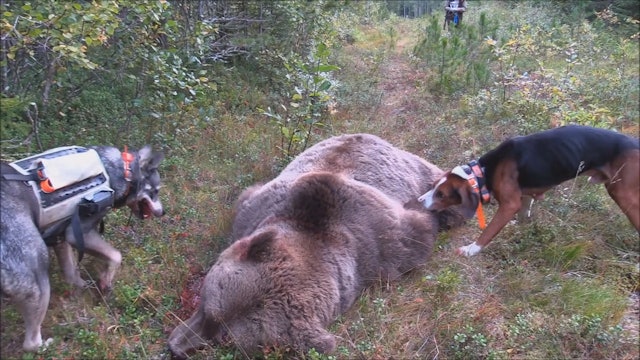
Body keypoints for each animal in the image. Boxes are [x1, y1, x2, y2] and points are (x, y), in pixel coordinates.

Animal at [1, 146, 165, 352]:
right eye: (155, 191)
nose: (163, 212)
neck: (120, 172)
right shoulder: (77, 233)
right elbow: (116, 256)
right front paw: (105, 282)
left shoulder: (60, 237)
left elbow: (72, 273)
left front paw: (82, 287)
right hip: (38, 281)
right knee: (30, 343)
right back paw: (47, 345)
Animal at [168, 134, 462, 358]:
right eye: (208, 310)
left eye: (224, 339)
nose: (174, 347)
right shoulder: (255, 209)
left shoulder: (384, 245)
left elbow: (416, 232)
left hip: (417, 168)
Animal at [418, 125, 636, 258]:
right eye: (433, 186)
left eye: (441, 194)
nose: (419, 201)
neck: (484, 171)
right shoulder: (524, 197)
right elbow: (524, 214)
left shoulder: (509, 204)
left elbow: (488, 232)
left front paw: (472, 249)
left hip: (624, 195)